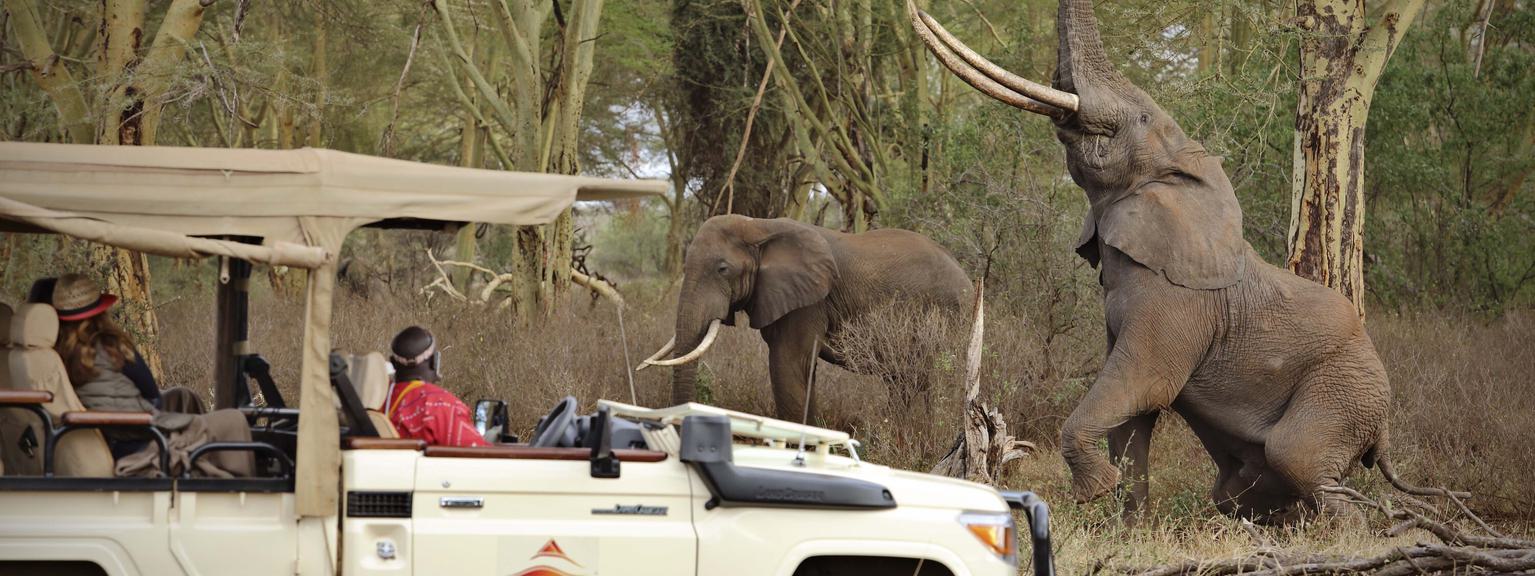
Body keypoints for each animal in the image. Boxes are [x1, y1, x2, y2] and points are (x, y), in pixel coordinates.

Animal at [639, 215, 971, 422]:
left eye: (722, 269)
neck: (758, 225)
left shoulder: (810, 302)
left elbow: (787, 364)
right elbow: (799, 371)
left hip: (948, 313)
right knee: (905, 381)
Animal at [909, 0, 1442, 523]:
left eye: (1143, 119)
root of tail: (1384, 424)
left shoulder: (1176, 305)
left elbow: (1143, 384)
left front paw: (1093, 491)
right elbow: (1130, 419)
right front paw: (1131, 525)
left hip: (1346, 391)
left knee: (1298, 457)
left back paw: (1344, 533)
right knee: (1238, 492)